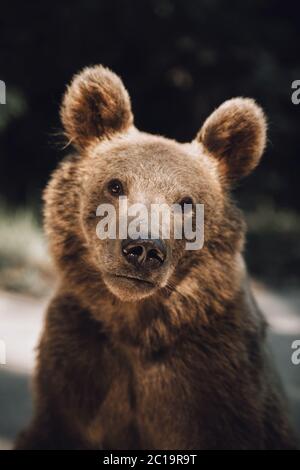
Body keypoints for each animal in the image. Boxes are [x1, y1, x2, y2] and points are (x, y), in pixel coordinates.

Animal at [15, 65, 296, 448]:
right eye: (115, 185)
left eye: (186, 202)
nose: (143, 248)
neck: (135, 324)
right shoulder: (77, 363)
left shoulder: (218, 382)